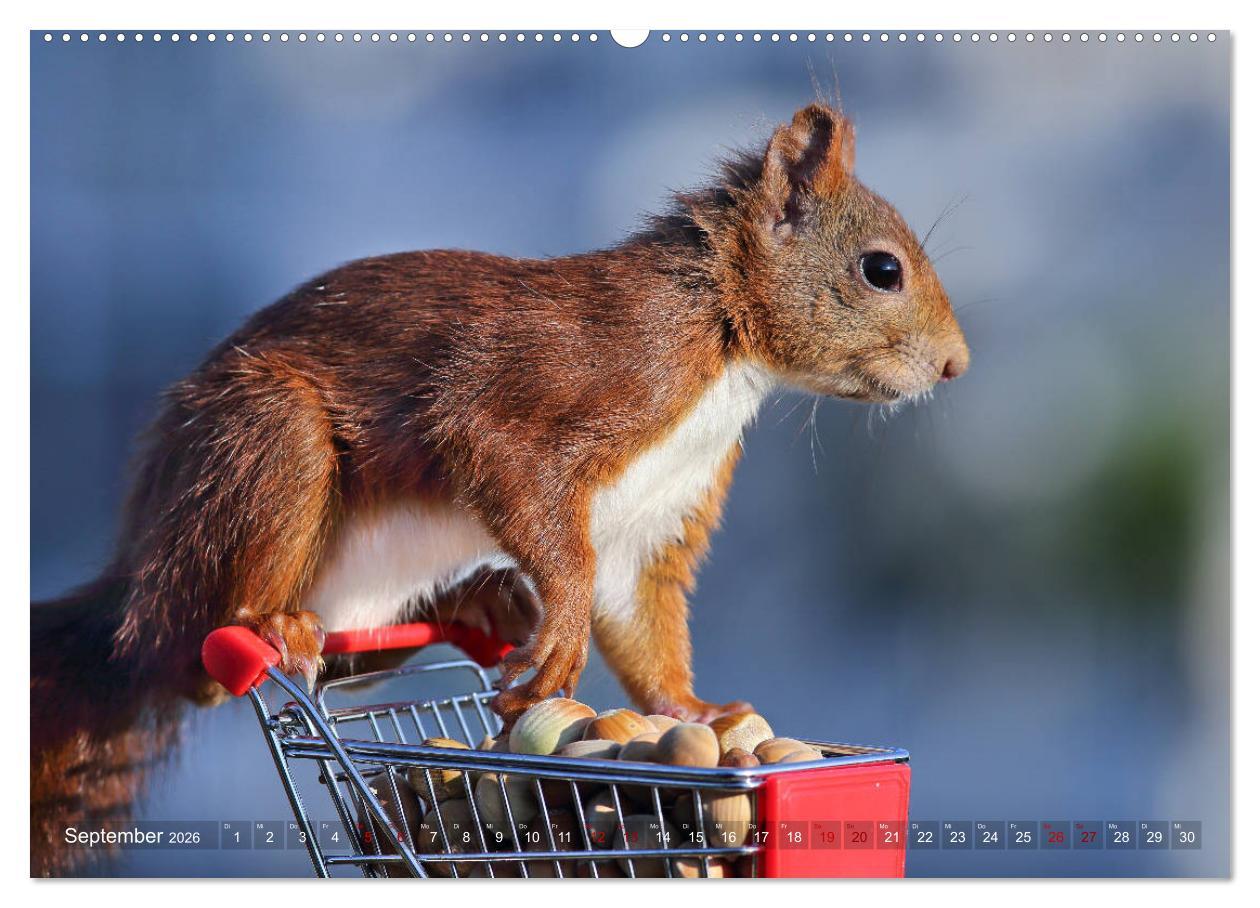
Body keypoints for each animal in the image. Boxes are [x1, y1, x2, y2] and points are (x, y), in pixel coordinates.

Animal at [31, 102, 967, 873]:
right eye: (882, 270)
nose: (956, 366)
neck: (727, 347)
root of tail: (133, 589)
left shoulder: (657, 515)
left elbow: (637, 607)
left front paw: (697, 709)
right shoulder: (587, 370)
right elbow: (503, 463)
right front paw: (562, 625)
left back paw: (482, 602)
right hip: (260, 448)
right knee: (204, 648)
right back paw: (269, 623)